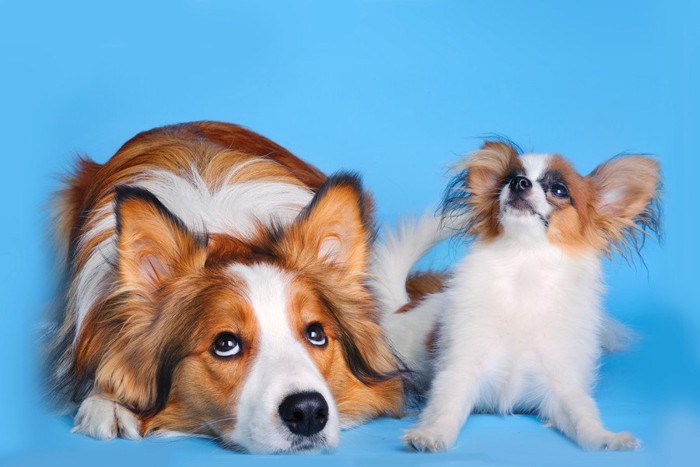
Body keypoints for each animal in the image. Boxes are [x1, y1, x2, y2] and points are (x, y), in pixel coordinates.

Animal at [374, 140, 660, 454]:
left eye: (559, 189)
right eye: (508, 179)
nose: (519, 183)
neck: (525, 266)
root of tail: (404, 305)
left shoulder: (562, 387)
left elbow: (584, 417)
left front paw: (607, 438)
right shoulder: (460, 370)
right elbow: (446, 408)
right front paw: (431, 434)